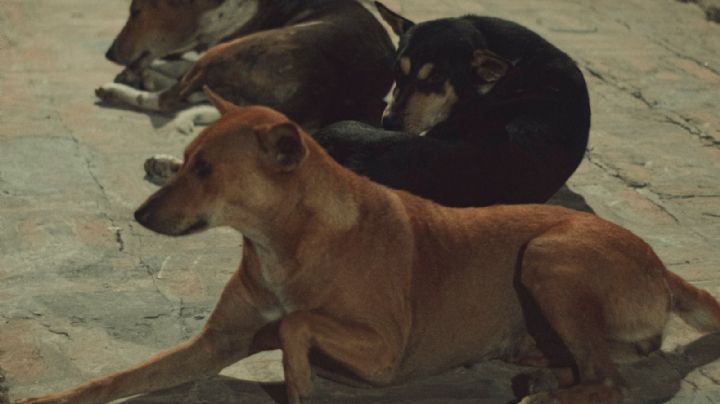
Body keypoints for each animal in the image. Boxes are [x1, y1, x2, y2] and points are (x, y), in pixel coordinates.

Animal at [16, 91, 720, 404]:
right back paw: (538, 369)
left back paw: (545, 394)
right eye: (183, 159)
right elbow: (112, 379)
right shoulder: (213, 345)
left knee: (610, 381)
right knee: (596, 361)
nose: (137, 214)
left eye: (207, 170)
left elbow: (296, 325)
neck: (286, 243)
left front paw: (300, 382)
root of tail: (661, 263)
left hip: (549, 257)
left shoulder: (385, 351)